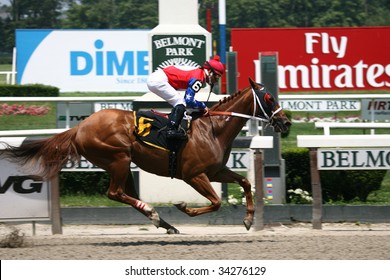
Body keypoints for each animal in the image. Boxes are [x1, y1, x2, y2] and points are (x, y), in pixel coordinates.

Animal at [1, 77, 290, 233]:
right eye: (269, 98)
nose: (286, 123)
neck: (213, 129)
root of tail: (79, 127)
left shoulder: (216, 170)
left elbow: (246, 182)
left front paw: (249, 218)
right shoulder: (194, 175)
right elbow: (217, 202)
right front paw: (184, 207)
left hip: (122, 164)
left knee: (124, 194)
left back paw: (163, 222)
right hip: (118, 158)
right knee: (115, 193)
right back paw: (154, 214)